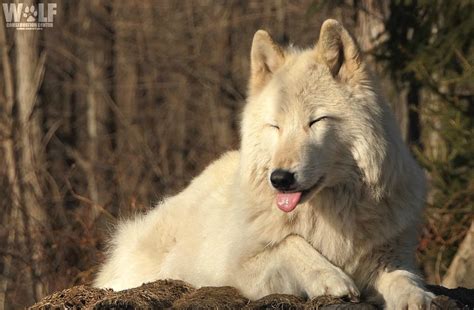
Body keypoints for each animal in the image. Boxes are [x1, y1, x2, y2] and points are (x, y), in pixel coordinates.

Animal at [94, 20, 436, 308]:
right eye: (276, 126)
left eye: (315, 121)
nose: (280, 179)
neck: (330, 218)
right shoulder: (238, 267)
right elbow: (290, 243)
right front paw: (330, 277)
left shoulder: (391, 256)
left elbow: (405, 279)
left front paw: (418, 297)